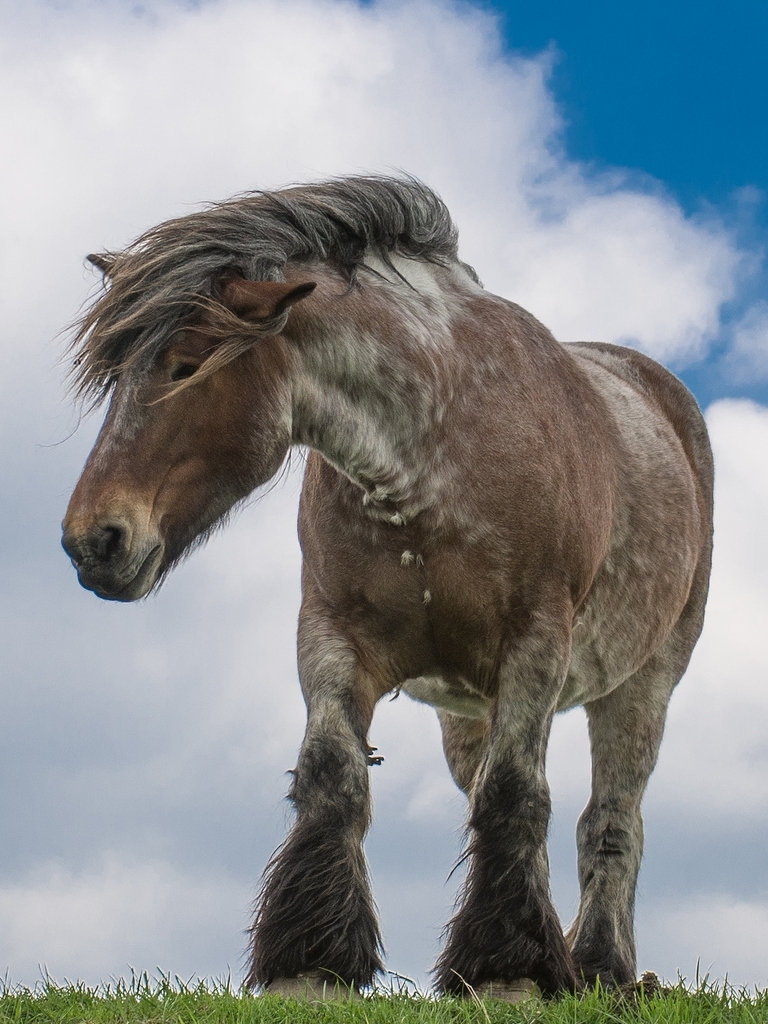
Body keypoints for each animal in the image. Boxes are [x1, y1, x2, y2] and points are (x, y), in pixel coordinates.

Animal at [61, 176, 716, 999]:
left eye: (185, 365)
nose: (92, 541)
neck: (431, 453)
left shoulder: (537, 644)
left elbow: (517, 793)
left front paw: (510, 968)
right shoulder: (332, 637)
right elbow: (335, 776)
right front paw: (312, 958)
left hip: (643, 684)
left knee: (610, 819)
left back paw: (599, 965)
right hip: (468, 708)